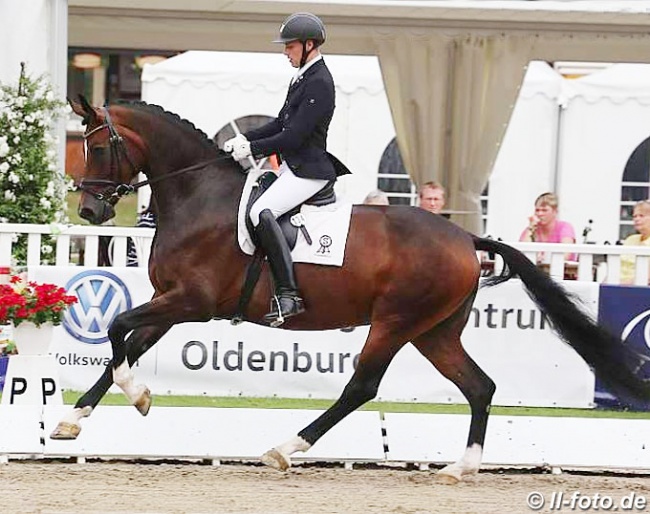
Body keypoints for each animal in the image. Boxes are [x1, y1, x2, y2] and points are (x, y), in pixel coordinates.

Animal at [52, 95, 650, 480]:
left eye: (97, 148)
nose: (90, 212)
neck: (199, 197)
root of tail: (464, 236)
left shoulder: (192, 303)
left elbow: (117, 328)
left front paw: (136, 397)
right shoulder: (172, 303)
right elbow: (123, 347)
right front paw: (72, 420)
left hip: (395, 322)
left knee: (362, 386)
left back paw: (284, 448)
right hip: (435, 332)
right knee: (479, 387)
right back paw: (460, 468)